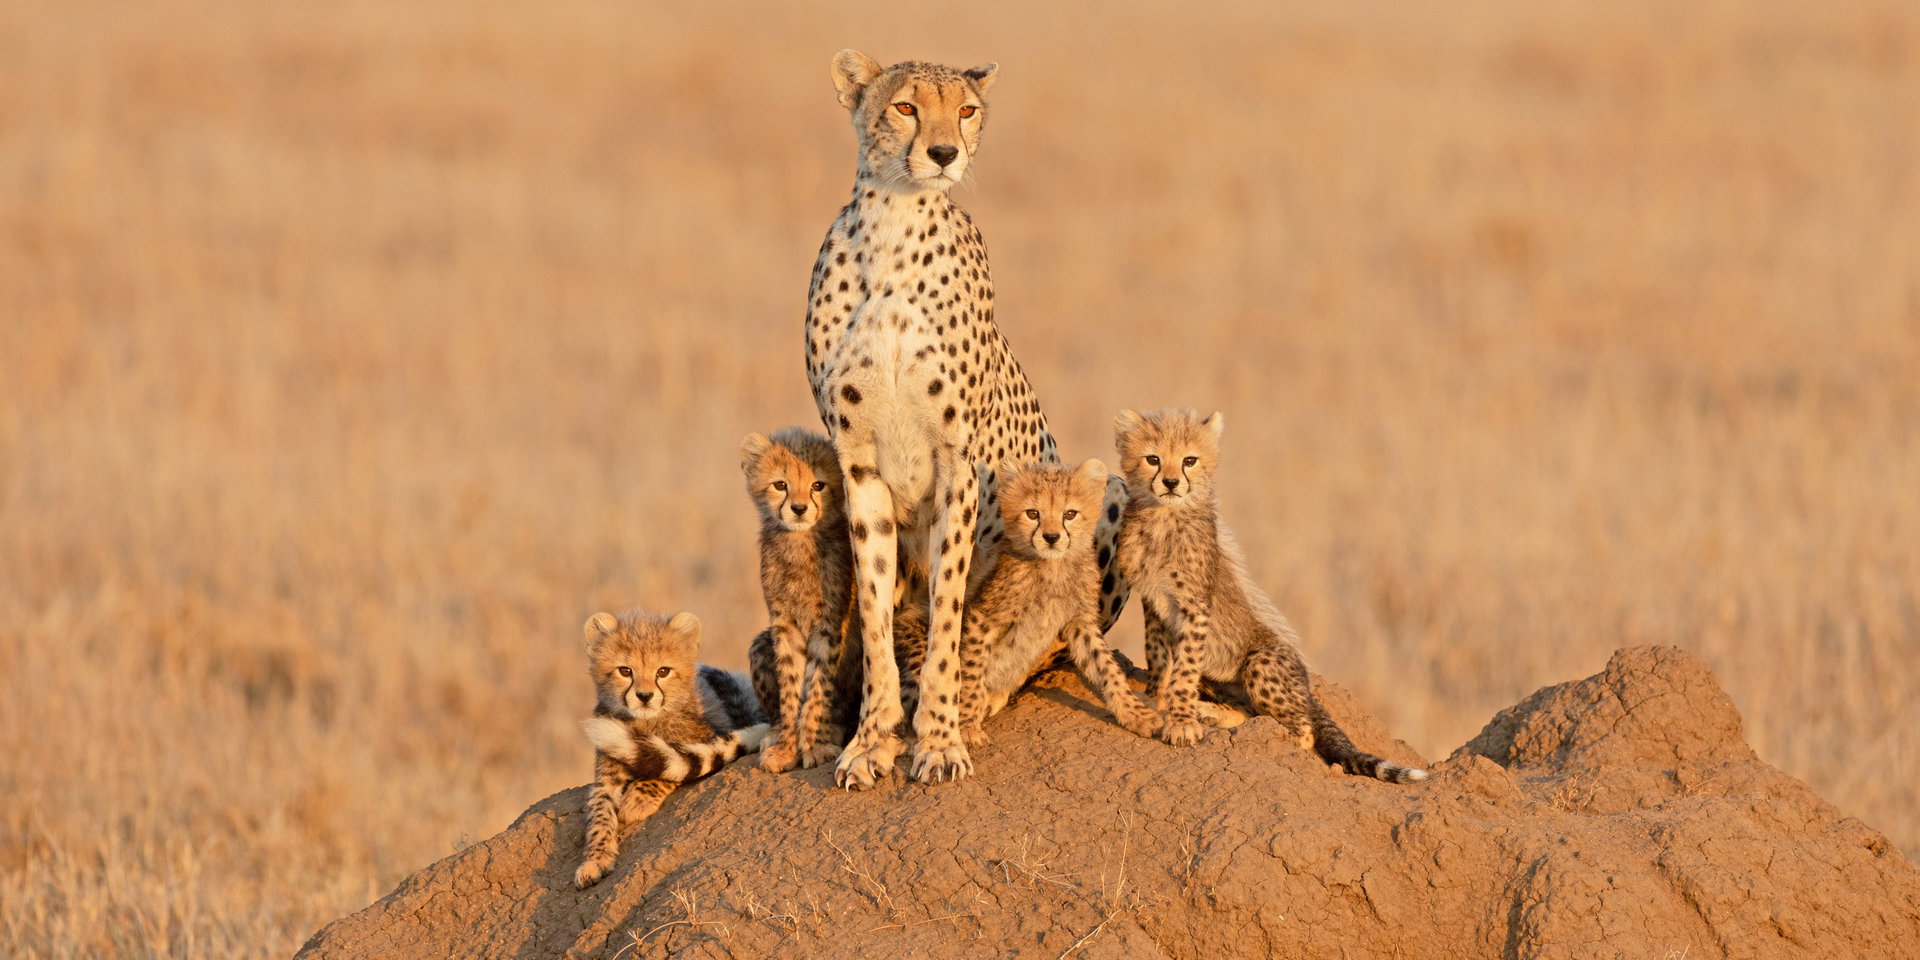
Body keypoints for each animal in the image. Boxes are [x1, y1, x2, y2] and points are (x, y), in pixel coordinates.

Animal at [574, 610, 769, 888]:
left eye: (663, 671)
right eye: (625, 671)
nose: (645, 696)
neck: (646, 722)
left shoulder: (707, 738)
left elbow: (674, 768)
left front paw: (637, 801)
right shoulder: (607, 775)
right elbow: (599, 814)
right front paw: (595, 860)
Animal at [804, 49, 1132, 788]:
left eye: (967, 109)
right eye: (905, 106)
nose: (944, 152)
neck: (893, 231)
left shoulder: (958, 466)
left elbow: (950, 616)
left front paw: (940, 740)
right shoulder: (857, 467)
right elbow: (875, 614)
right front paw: (871, 742)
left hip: (1116, 494)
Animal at [1113, 408, 1427, 784]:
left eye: (1189, 460)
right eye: (1153, 459)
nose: (1171, 483)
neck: (1163, 517)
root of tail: (1307, 687)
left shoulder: (1194, 607)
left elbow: (1184, 669)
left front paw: (1181, 722)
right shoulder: (1153, 601)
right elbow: (1159, 657)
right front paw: (1155, 700)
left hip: (1261, 661)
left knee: (1302, 732)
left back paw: (1262, 735)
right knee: (1250, 711)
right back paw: (1213, 713)